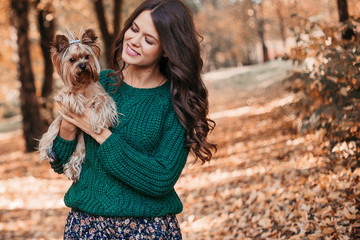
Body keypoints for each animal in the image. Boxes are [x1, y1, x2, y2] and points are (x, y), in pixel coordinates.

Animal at [39, 28, 118, 182]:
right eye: (72, 60)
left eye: (87, 57)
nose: (82, 65)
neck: (82, 81)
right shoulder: (63, 94)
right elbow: (70, 95)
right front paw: (78, 105)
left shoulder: (103, 96)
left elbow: (102, 104)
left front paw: (97, 124)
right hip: (60, 122)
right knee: (51, 131)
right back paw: (46, 148)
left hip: (81, 142)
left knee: (77, 154)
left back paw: (72, 171)